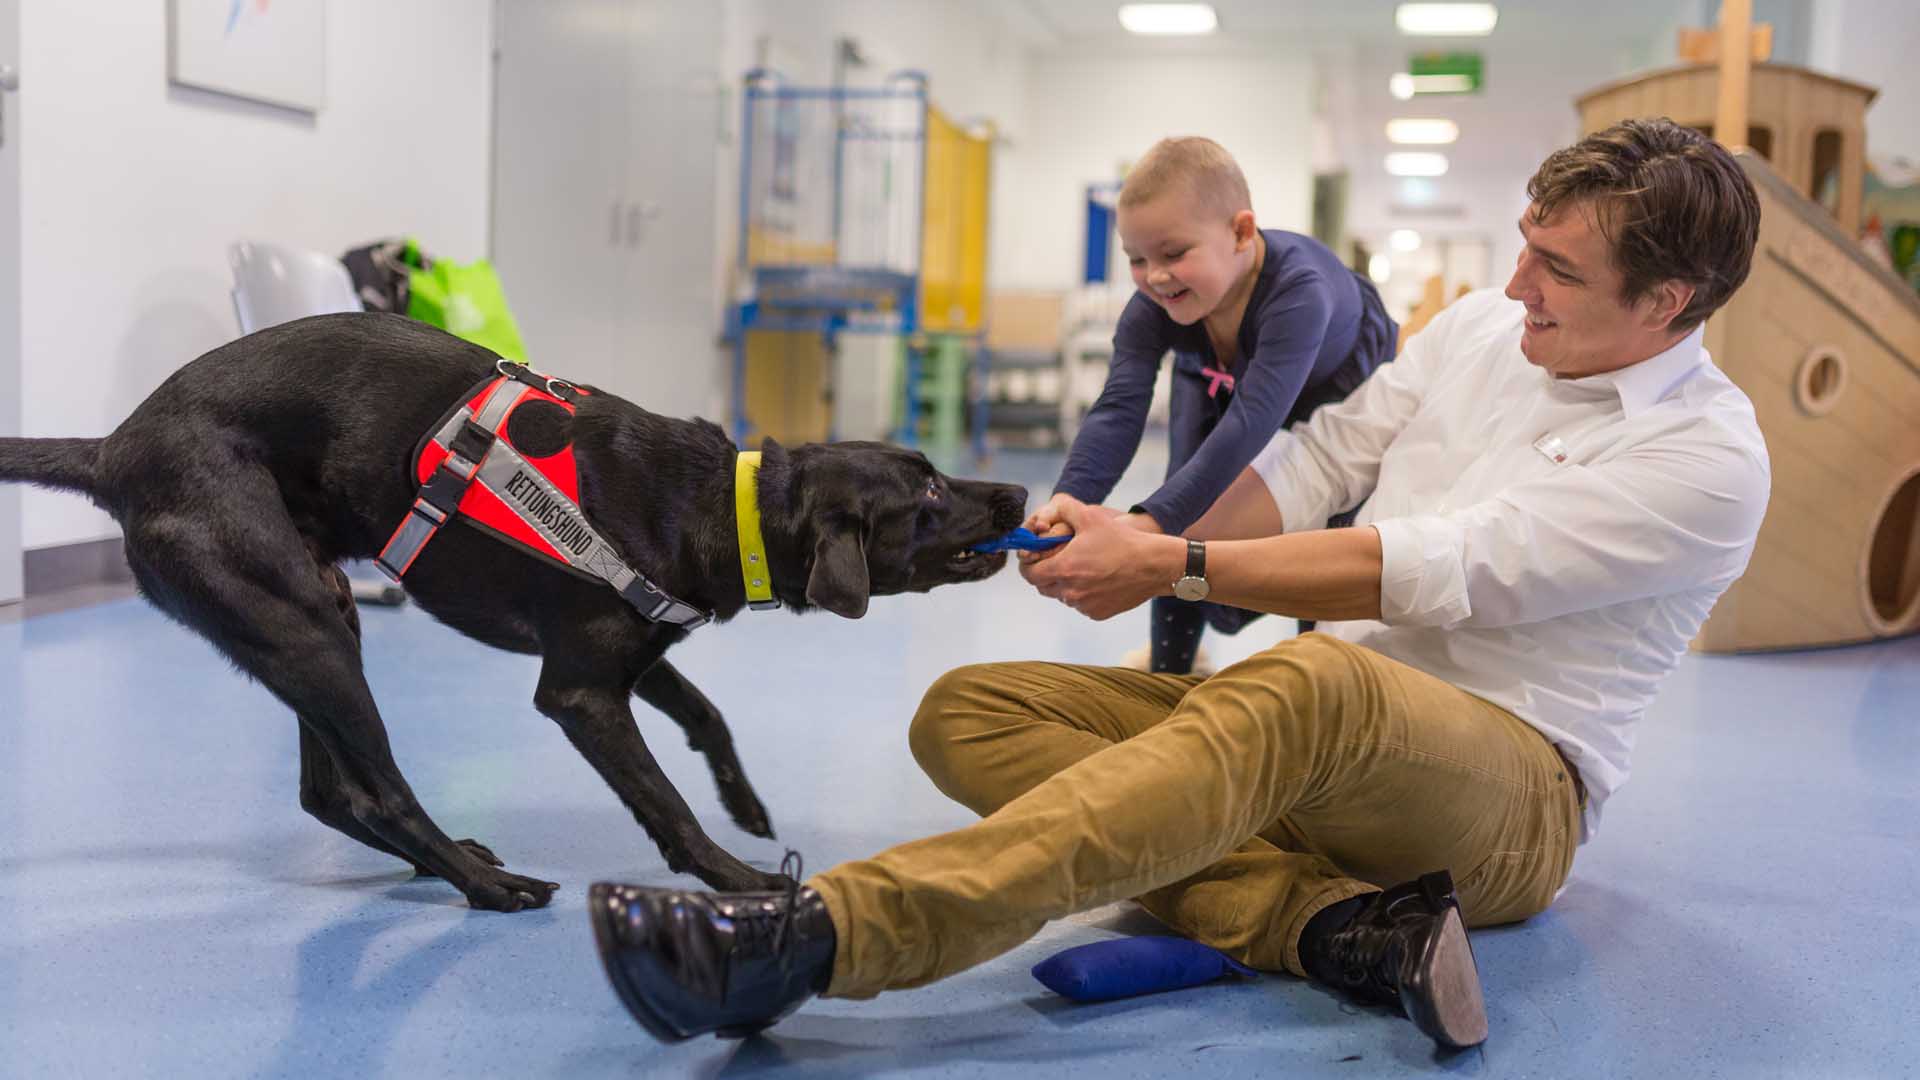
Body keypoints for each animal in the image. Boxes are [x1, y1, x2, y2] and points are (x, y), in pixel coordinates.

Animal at [0, 311, 1029, 907]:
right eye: (929, 492)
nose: (1019, 493)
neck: (720, 502)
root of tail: (112, 451)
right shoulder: (578, 692)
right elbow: (662, 798)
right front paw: (735, 880)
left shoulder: (630, 656)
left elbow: (707, 714)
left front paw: (745, 802)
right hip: (300, 627)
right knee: (375, 787)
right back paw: (483, 885)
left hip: (314, 612)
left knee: (328, 791)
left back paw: (447, 859)